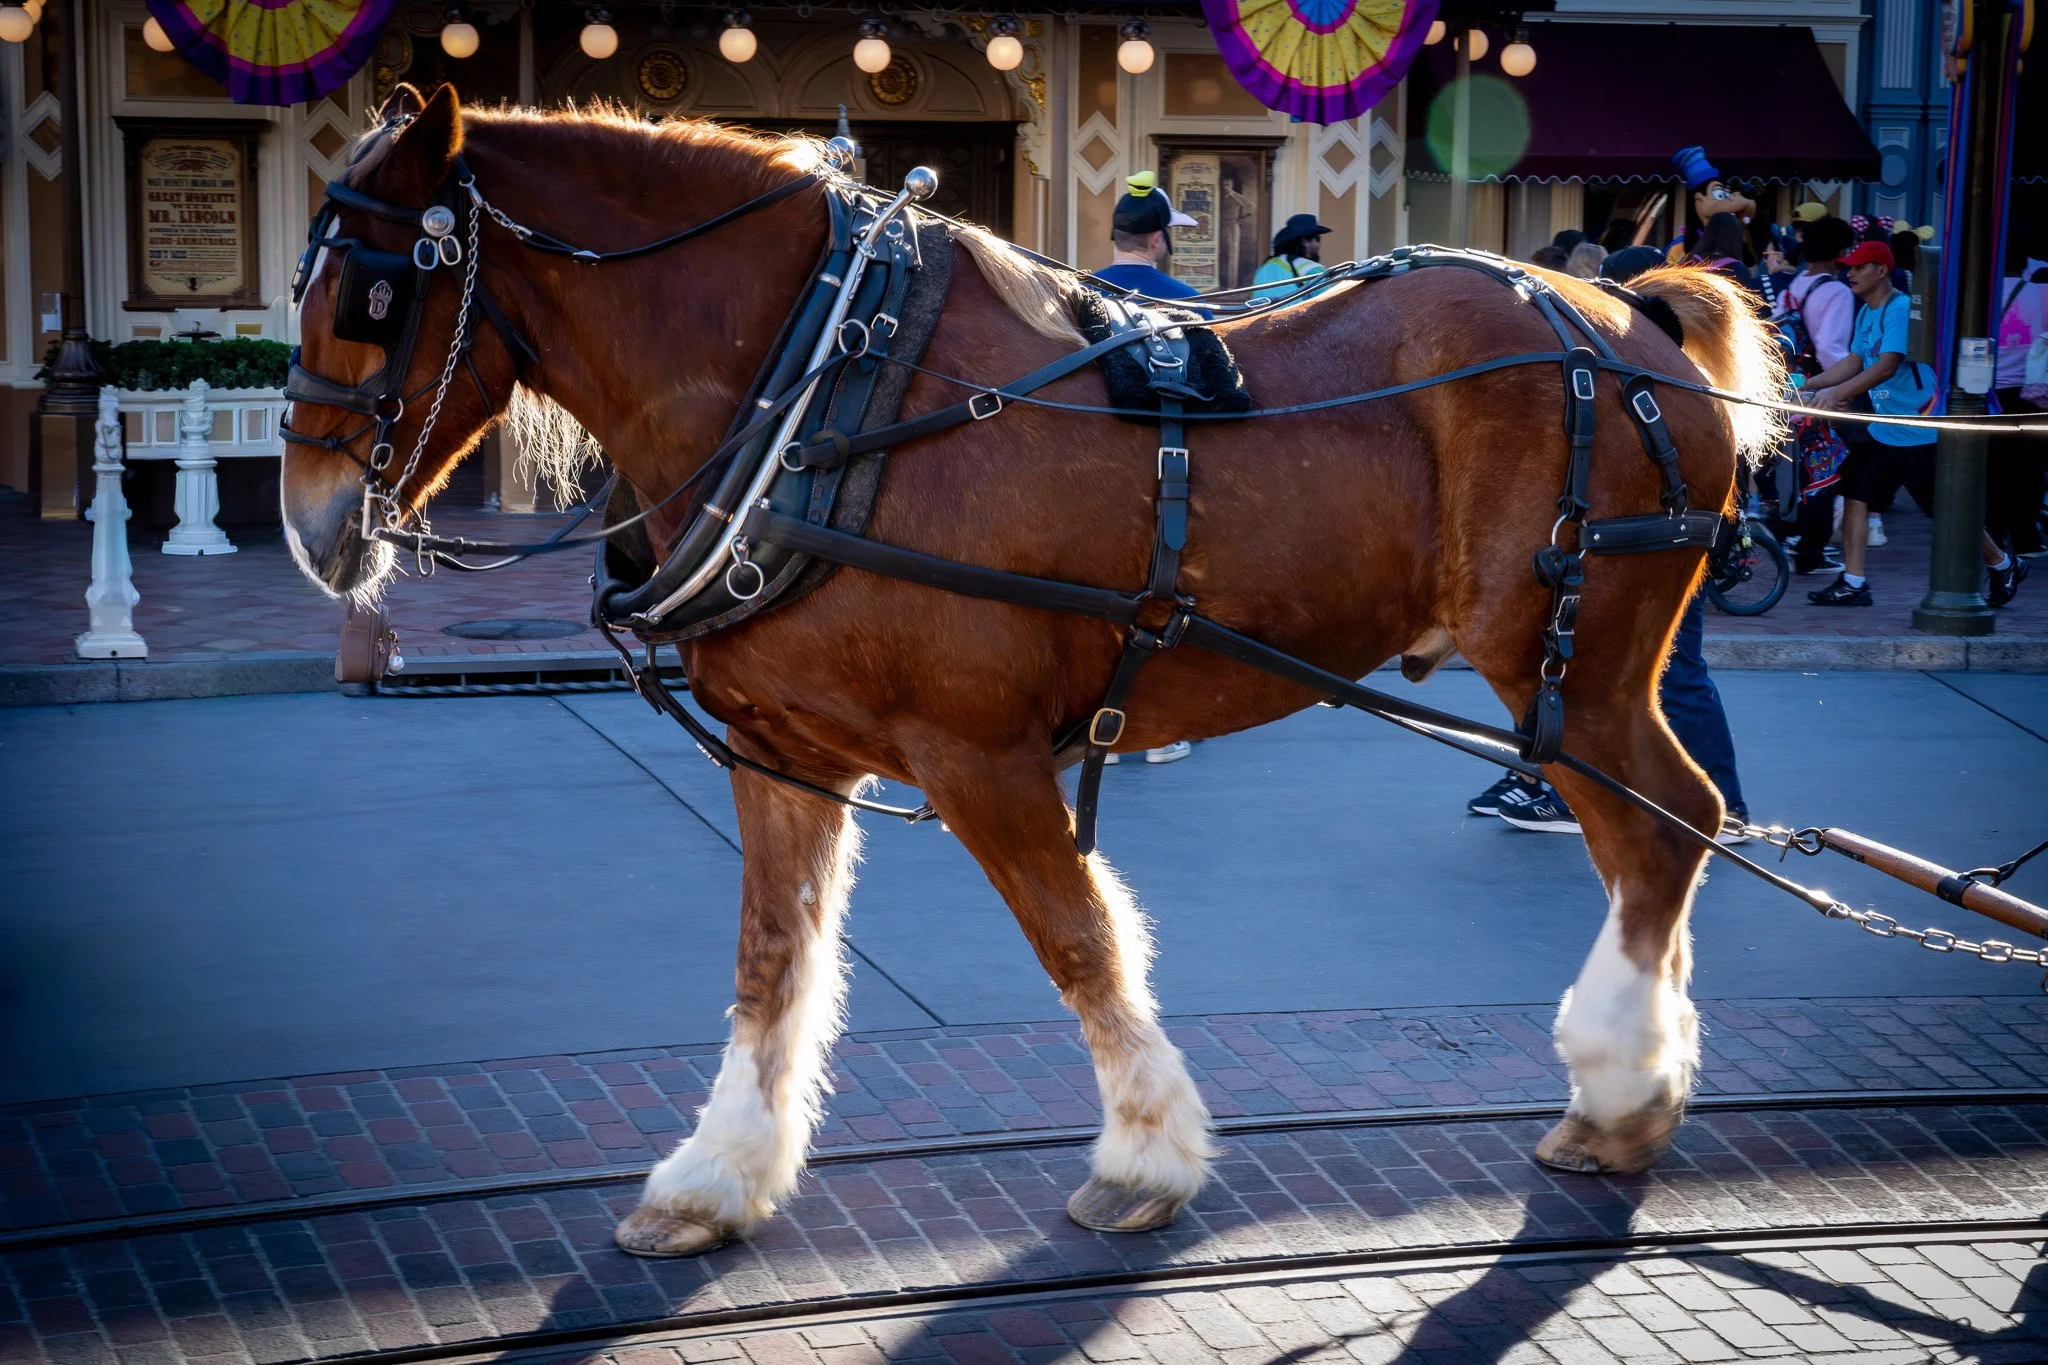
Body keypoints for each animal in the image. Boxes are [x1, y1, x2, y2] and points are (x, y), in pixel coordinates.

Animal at [283, 84, 1784, 1257]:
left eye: (373, 291)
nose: (305, 520)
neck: (816, 390)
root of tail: (1625, 312)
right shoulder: (782, 752)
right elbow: (772, 962)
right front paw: (713, 1179)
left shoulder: (978, 754)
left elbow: (1076, 937)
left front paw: (1144, 1159)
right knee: (1664, 830)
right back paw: (1628, 1094)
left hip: (1568, 669)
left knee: (1668, 825)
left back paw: (1620, 1093)